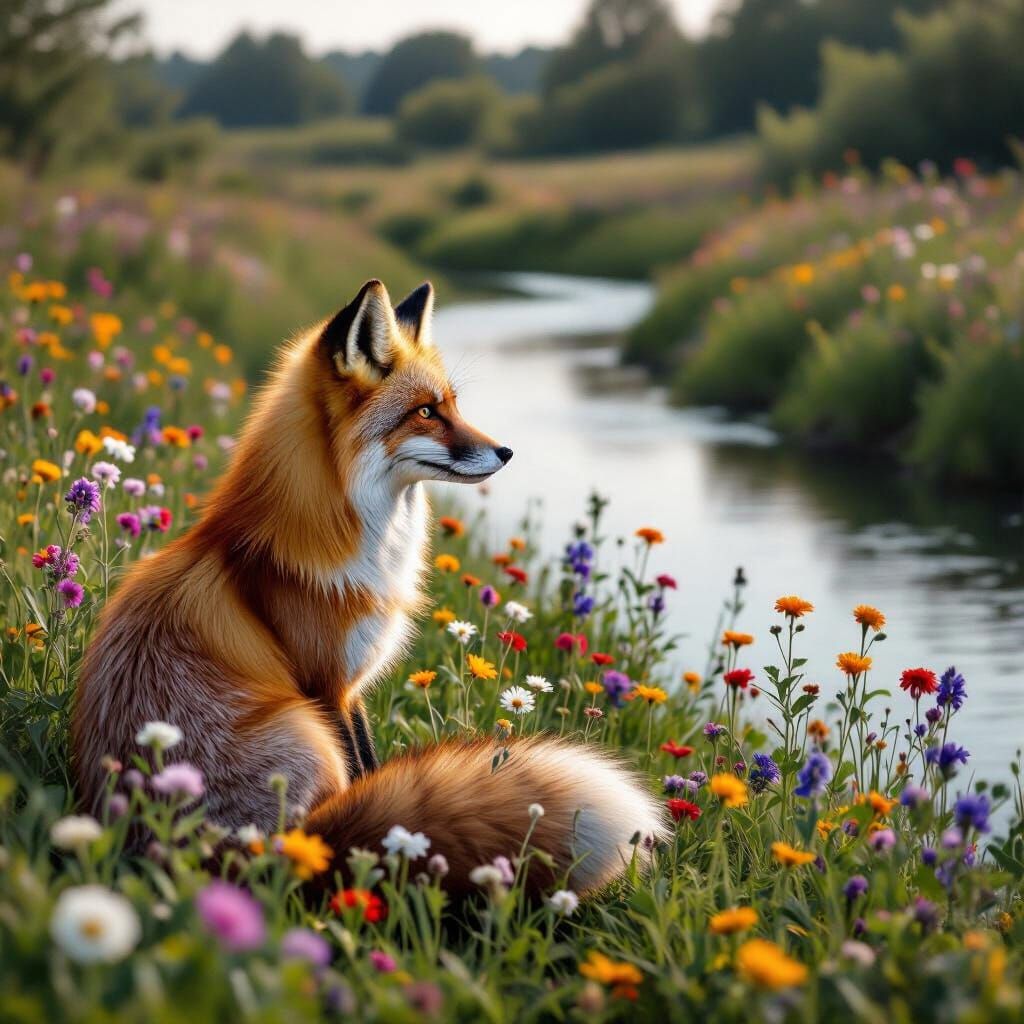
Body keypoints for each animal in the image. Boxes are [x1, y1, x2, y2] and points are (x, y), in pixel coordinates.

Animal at [73, 279, 664, 896]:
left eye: (454, 405)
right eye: (426, 412)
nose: (506, 452)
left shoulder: (351, 689)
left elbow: (374, 764)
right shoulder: (328, 684)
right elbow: (366, 768)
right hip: (307, 736)